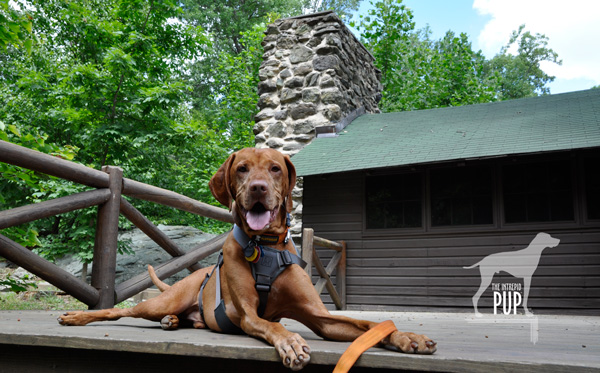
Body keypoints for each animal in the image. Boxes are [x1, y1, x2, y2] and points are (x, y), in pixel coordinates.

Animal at [58, 147, 436, 370]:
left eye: (275, 169)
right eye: (241, 169)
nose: (258, 188)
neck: (265, 245)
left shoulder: (321, 318)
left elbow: (369, 326)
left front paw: (407, 337)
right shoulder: (248, 315)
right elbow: (272, 325)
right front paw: (291, 342)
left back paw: (174, 322)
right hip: (159, 301)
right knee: (118, 311)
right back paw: (77, 317)